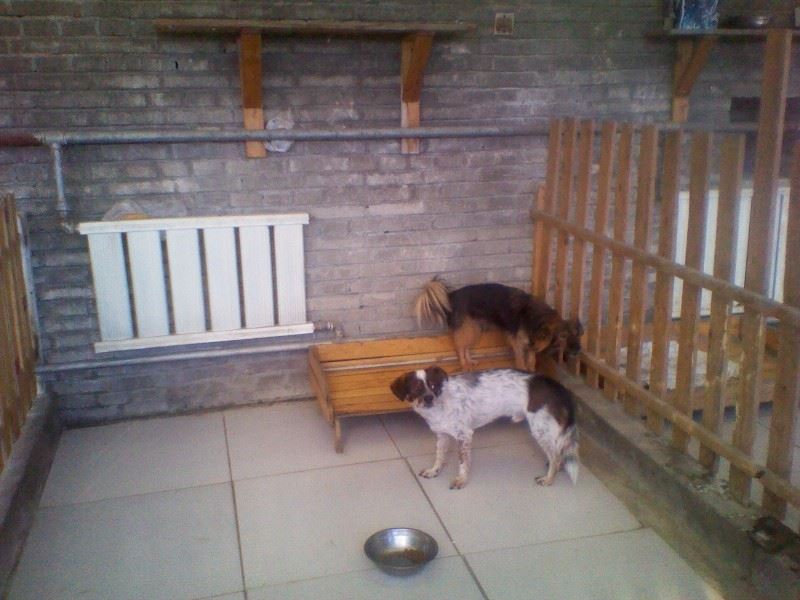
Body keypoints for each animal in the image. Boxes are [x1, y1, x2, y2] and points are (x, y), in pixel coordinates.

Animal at [390, 366, 579, 489]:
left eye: (433, 385)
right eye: (416, 388)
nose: (429, 398)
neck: (441, 404)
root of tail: (557, 386)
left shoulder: (464, 435)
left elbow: (463, 462)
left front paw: (461, 480)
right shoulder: (442, 435)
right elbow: (439, 457)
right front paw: (434, 471)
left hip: (540, 429)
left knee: (557, 457)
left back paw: (549, 479)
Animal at [413, 278, 583, 372]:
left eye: (576, 335)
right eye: (563, 336)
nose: (578, 350)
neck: (536, 318)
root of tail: (451, 296)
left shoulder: (531, 344)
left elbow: (531, 360)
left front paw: (532, 371)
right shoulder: (518, 343)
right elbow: (521, 362)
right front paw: (523, 372)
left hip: (474, 329)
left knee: (466, 347)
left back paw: (470, 361)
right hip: (467, 329)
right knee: (460, 347)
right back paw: (464, 365)